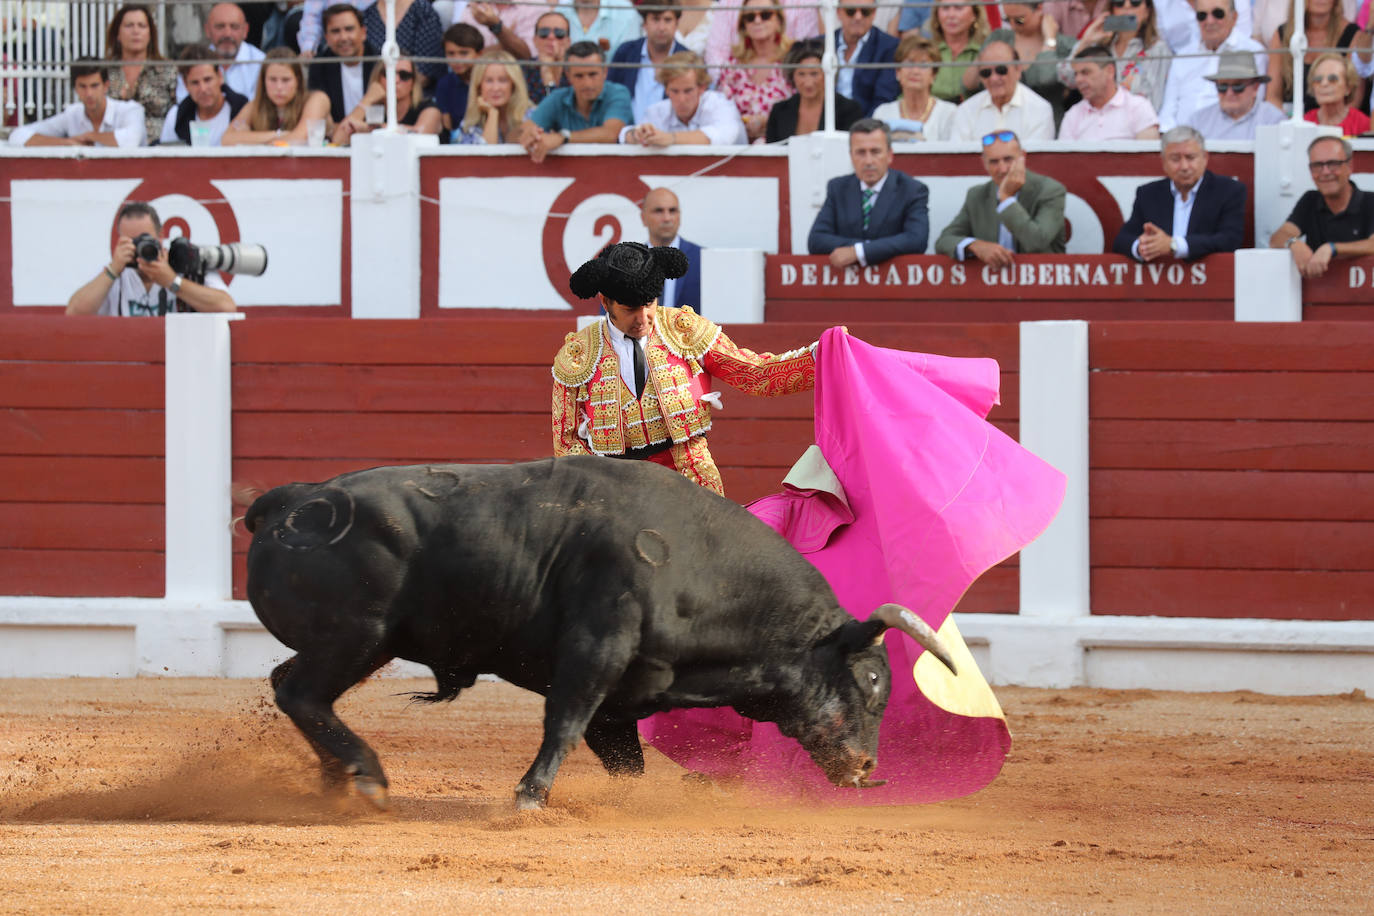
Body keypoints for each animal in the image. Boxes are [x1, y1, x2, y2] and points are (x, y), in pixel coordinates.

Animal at [247, 458, 956, 807]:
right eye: (872, 678)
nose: (867, 768)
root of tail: (290, 500)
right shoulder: (595, 651)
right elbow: (563, 723)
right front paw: (529, 798)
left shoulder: (623, 698)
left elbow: (625, 764)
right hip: (358, 637)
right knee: (300, 692)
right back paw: (364, 774)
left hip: (351, 644)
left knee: (294, 688)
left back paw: (337, 778)